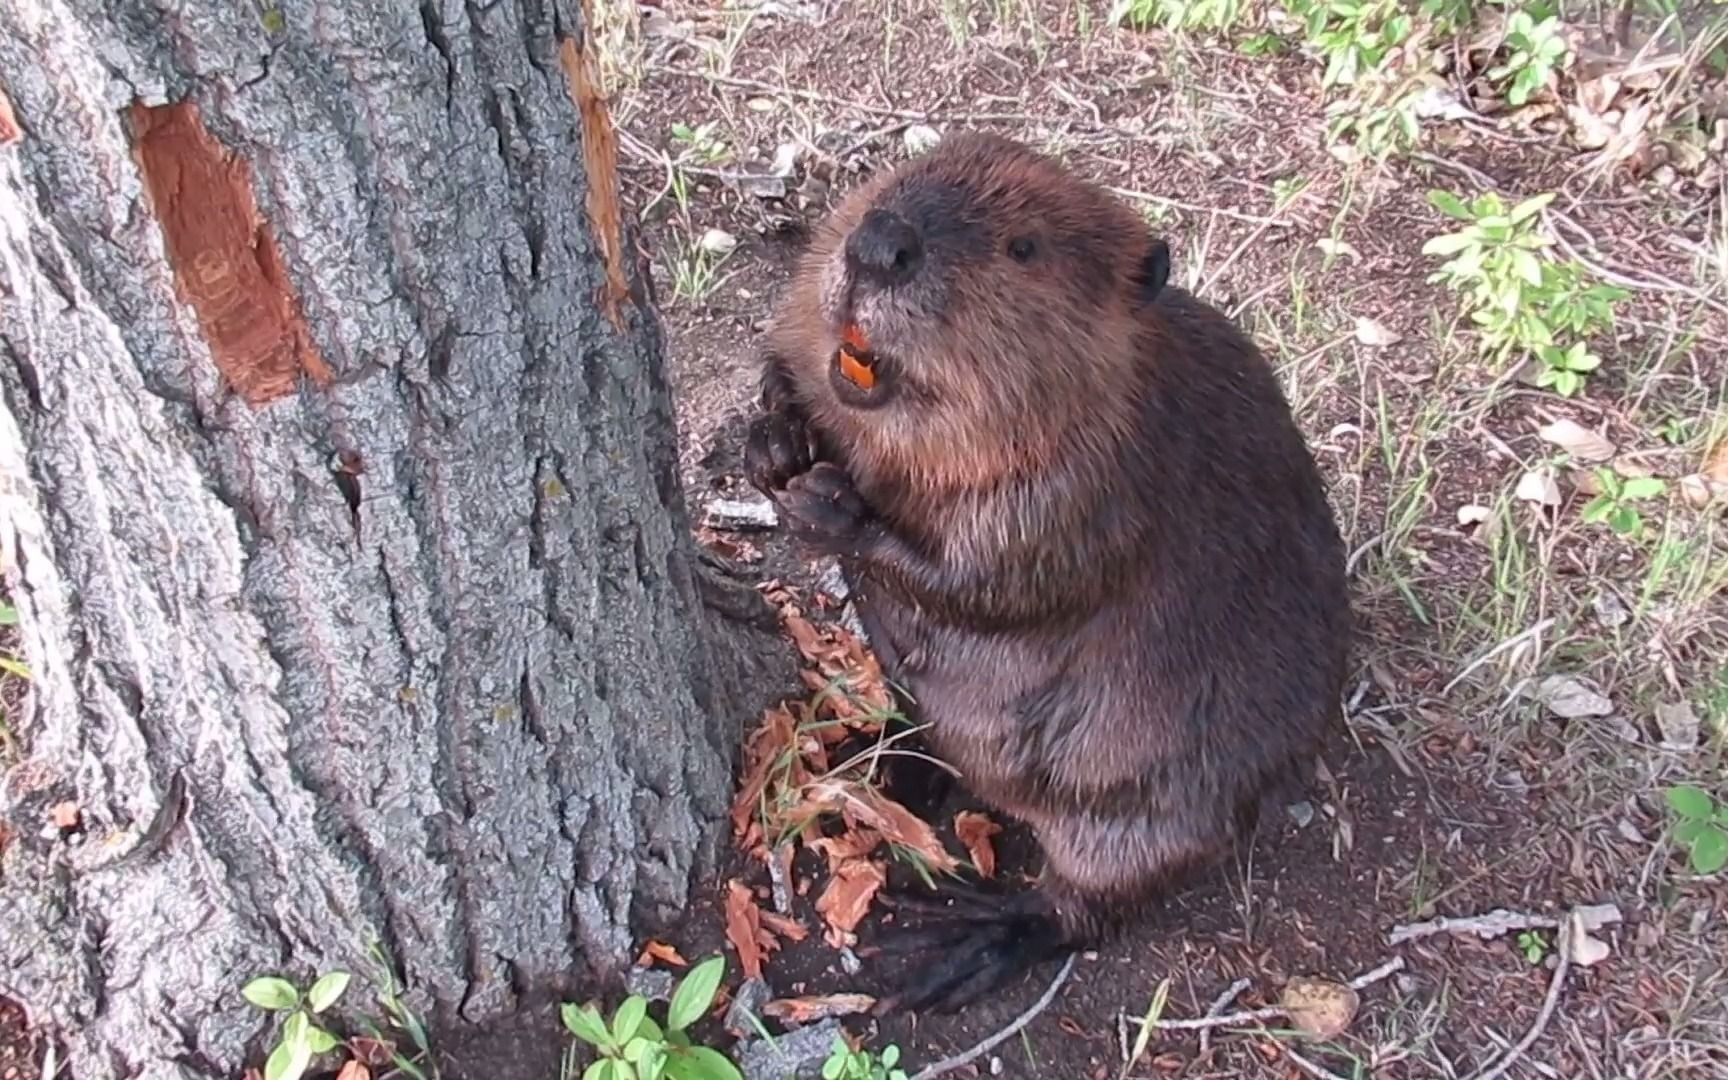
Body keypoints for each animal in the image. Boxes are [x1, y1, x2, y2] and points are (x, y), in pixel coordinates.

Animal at [743, 133, 1347, 1009]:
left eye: (1022, 247)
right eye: (894, 182)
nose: (880, 244)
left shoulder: (1094, 482)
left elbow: (996, 585)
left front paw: (829, 506)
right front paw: (775, 440)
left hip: (1152, 811)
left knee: (1088, 906)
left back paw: (961, 934)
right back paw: (892, 765)